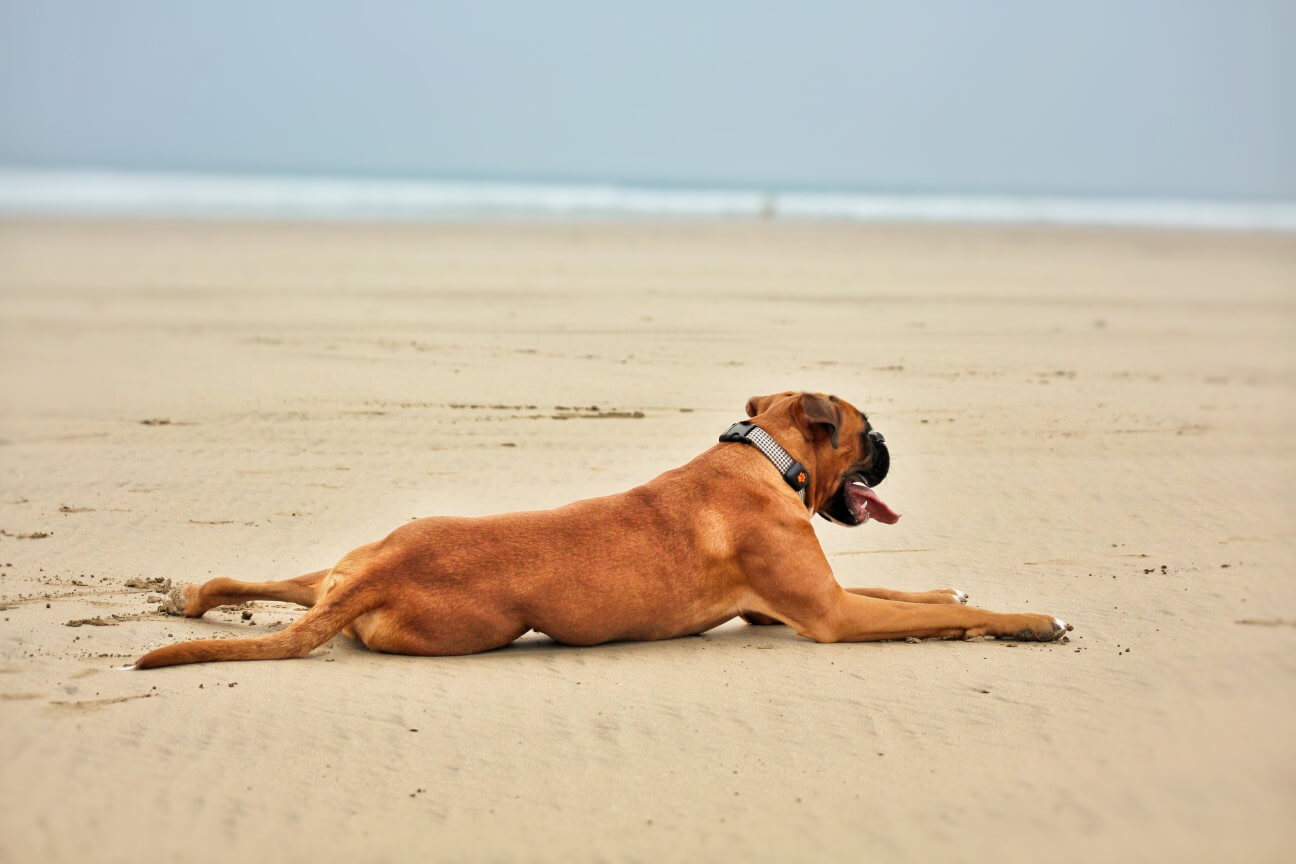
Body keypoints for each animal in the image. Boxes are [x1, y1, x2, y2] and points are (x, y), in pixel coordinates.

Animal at [136, 391, 1073, 668]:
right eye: (864, 429)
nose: (887, 446)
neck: (765, 458)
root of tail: (373, 575)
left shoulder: (802, 600)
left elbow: (915, 590)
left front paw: (957, 589)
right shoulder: (832, 615)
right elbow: (924, 612)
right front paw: (1030, 620)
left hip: (347, 559)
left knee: (265, 584)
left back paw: (190, 595)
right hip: (475, 626)